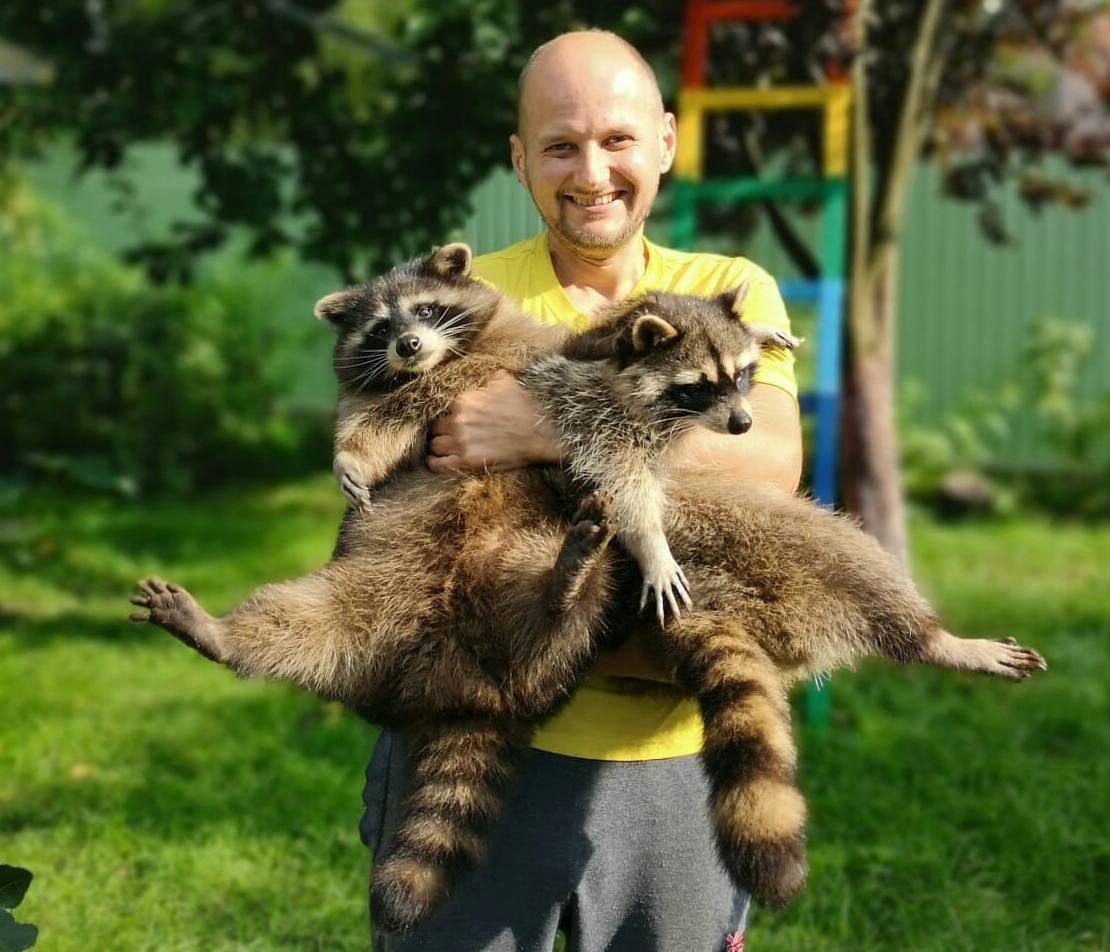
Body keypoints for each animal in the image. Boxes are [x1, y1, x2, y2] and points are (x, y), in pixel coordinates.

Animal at [130, 244, 1047, 931]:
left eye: (424, 312)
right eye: (380, 326)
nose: (407, 348)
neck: (454, 361)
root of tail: (466, 683)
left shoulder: (549, 359)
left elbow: (607, 352)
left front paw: (761, 326)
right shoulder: (416, 394)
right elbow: (370, 422)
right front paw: (349, 458)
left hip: (652, 566)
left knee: (816, 554)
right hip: (371, 595)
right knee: (305, 621)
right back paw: (225, 631)